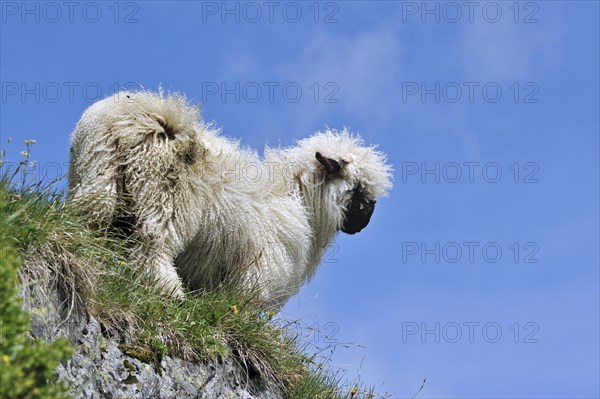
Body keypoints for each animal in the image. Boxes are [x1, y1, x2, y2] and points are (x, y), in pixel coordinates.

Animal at [68, 91, 394, 310]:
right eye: (359, 190)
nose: (366, 221)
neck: (303, 201)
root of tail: (138, 117)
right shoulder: (258, 273)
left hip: (97, 172)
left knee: (91, 216)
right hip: (164, 200)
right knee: (152, 248)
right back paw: (171, 293)